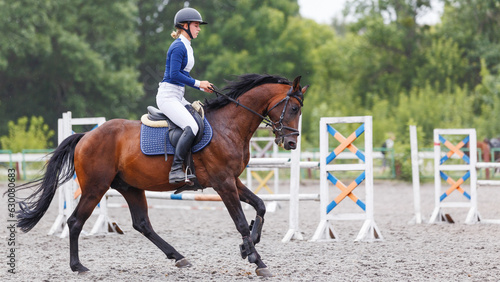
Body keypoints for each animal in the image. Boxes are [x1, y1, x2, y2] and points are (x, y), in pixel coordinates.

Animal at [17, 73, 306, 278]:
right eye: (293, 109)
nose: (291, 143)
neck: (229, 126)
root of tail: (86, 135)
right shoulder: (223, 183)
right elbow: (241, 222)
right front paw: (258, 260)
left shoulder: (232, 180)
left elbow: (260, 206)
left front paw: (248, 247)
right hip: (95, 188)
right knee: (75, 221)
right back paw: (78, 266)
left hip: (130, 187)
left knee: (142, 224)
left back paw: (178, 256)